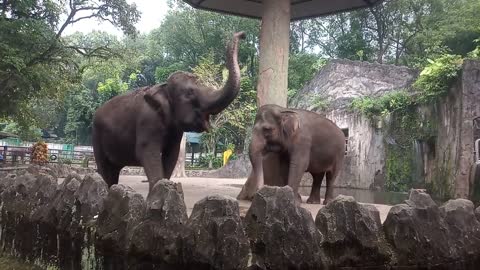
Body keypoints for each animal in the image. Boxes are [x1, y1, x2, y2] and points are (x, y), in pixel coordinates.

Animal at [92, 31, 246, 191]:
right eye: (189, 94)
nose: (243, 34)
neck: (163, 87)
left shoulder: (175, 130)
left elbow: (171, 155)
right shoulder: (147, 121)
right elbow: (147, 152)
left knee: (113, 170)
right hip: (96, 137)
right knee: (105, 167)